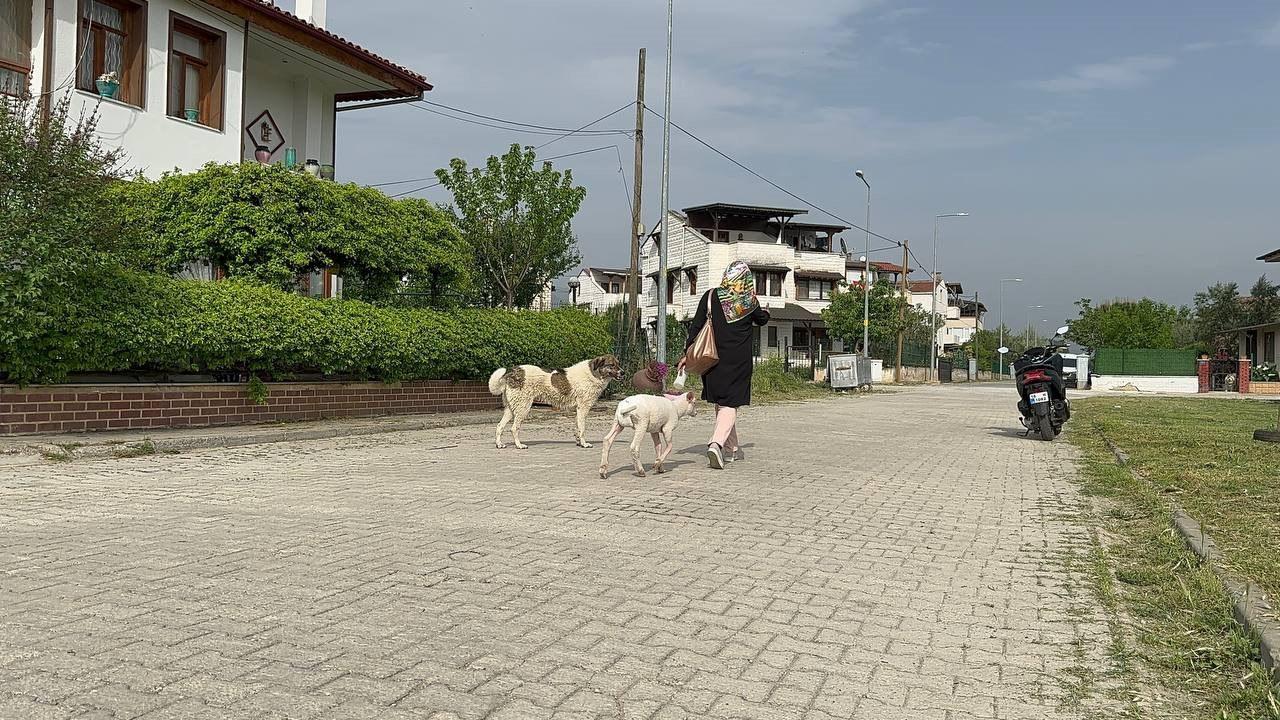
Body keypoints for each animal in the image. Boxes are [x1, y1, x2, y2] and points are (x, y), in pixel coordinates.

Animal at [486, 353, 622, 448]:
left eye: (618, 364)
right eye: (611, 365)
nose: (623, 372)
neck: (593, 374)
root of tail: (513, 371)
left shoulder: (578, 410)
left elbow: (578, 428)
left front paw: (579, 442)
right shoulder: (583, 408)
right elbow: (582, 429)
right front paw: (584, 444)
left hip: (511, 409)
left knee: (499, 426)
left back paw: (499, 444)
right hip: (523, 408)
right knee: (514, 428)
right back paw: (519, 445)